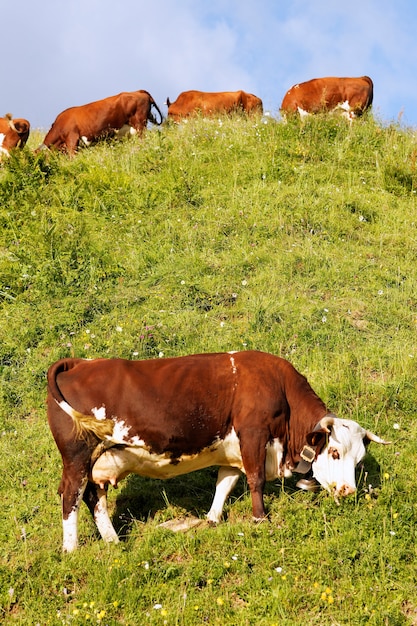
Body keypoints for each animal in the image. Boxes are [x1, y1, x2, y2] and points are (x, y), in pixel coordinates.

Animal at [47, 348, 388, 548]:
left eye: (359, 460)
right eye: (334, 452)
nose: (348, 491)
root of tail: (78, 363)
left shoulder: (232, 449)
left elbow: (225, 483)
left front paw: (212, 519)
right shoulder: (253, 434)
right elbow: (255, 480)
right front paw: (260, 519)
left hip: (99, 460)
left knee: (94, 497)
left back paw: (114, 542)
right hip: (76, 457)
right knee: (70, 496)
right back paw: (71, 549)